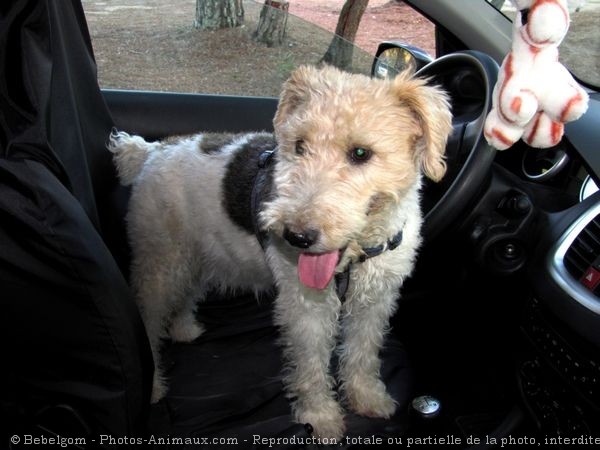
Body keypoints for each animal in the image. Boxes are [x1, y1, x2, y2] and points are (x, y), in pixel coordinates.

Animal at [108, 64, 450, 440]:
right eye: (299, 145)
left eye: (361, 153)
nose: (296, 236)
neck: (359, 255)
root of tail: (153, 150)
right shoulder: (306, 308)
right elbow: (312, 365)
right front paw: (320, 419)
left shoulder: (375, 302)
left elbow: (363, 353)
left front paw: (369, 399)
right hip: (160, 261)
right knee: (149, 319)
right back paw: (154, 384)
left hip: (196, 255)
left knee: (184, 298)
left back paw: (185, 329)